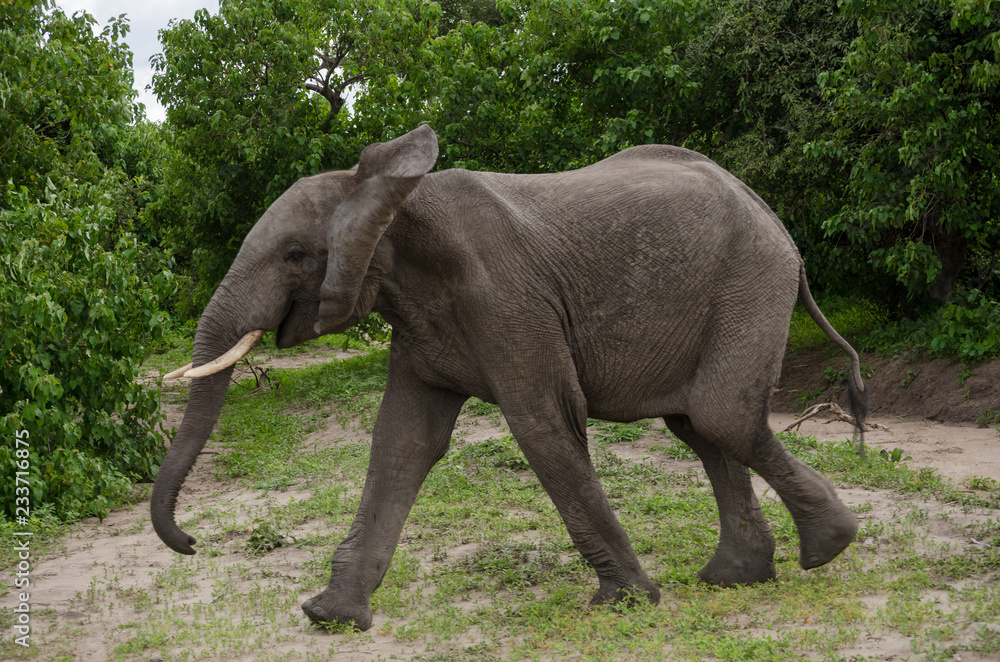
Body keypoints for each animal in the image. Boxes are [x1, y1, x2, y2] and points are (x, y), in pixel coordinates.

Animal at [156, 123, 868, 632]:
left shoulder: (507, 301)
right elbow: (402, 442)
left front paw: (627, 603)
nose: (189, 544)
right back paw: (736, 578)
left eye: (296, 255)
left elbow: (543, 425)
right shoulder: (420, 320)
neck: (391, 197)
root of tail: (768, 212)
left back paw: (827, 548)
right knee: (698, 426)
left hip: (752, 282)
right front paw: (331, 616)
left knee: (721, 416)